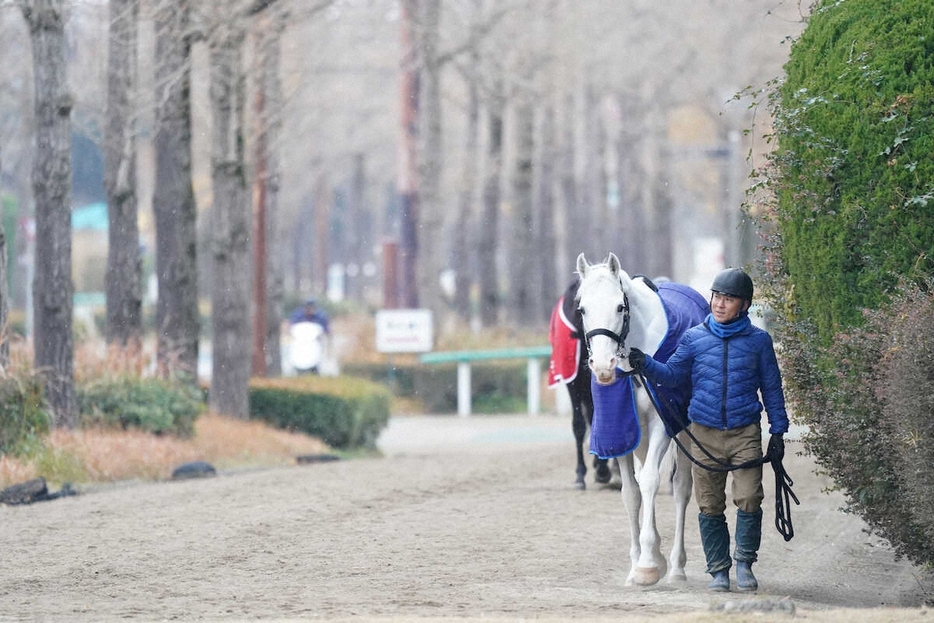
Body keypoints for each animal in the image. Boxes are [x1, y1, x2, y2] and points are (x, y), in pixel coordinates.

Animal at [576, 251, 704, 588]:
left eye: (619, 307)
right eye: (582, 308)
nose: (603, 365)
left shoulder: (662, 423)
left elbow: (649, 481)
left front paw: (647, 564)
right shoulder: (621, 427)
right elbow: (631, 492)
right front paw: (640, 562)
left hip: (683, 430)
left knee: (681, 486)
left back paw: (676, 566)